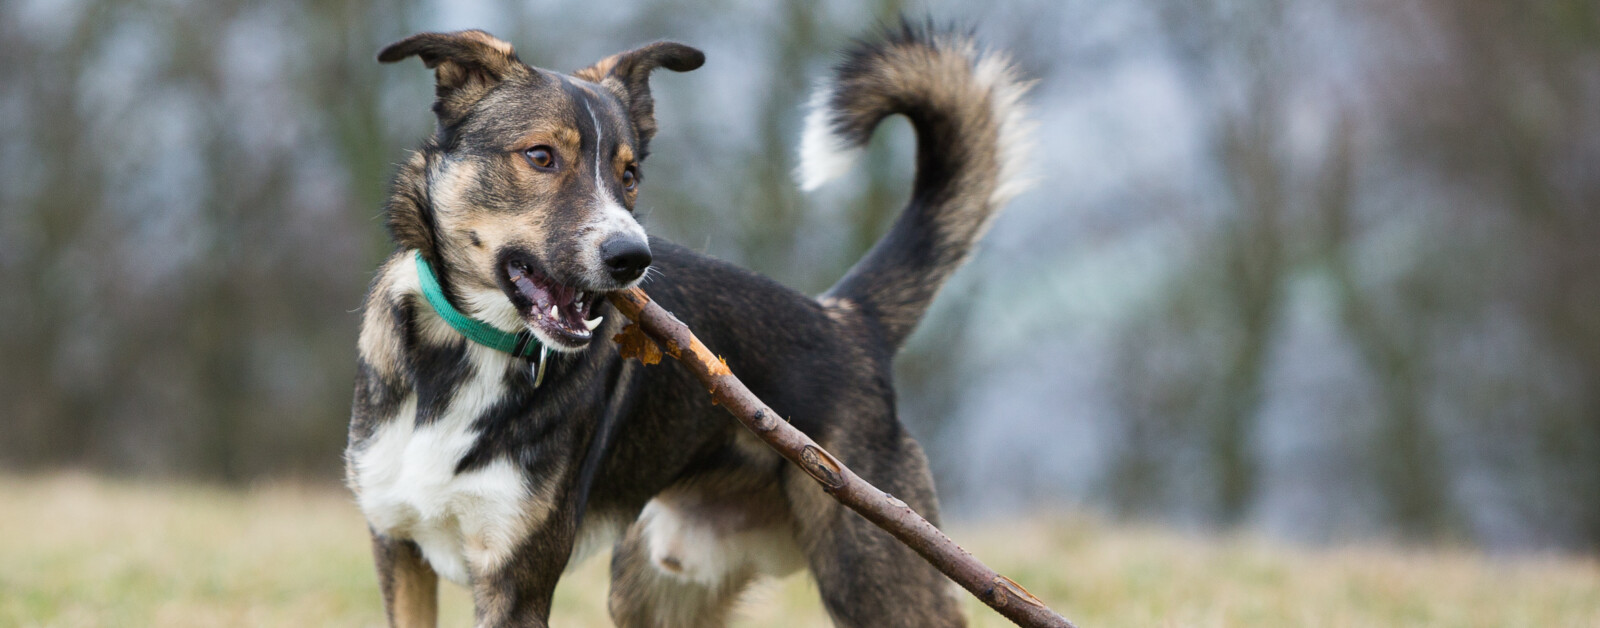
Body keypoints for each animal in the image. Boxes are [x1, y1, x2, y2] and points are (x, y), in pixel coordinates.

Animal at [344, 20, 1030, 628]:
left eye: (629, 175)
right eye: (540, 156)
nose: (632, 258)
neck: (467, 353)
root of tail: (847, 317)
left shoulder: (518, 580)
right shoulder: (397, 550)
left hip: (877, 575)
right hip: (657, 586)